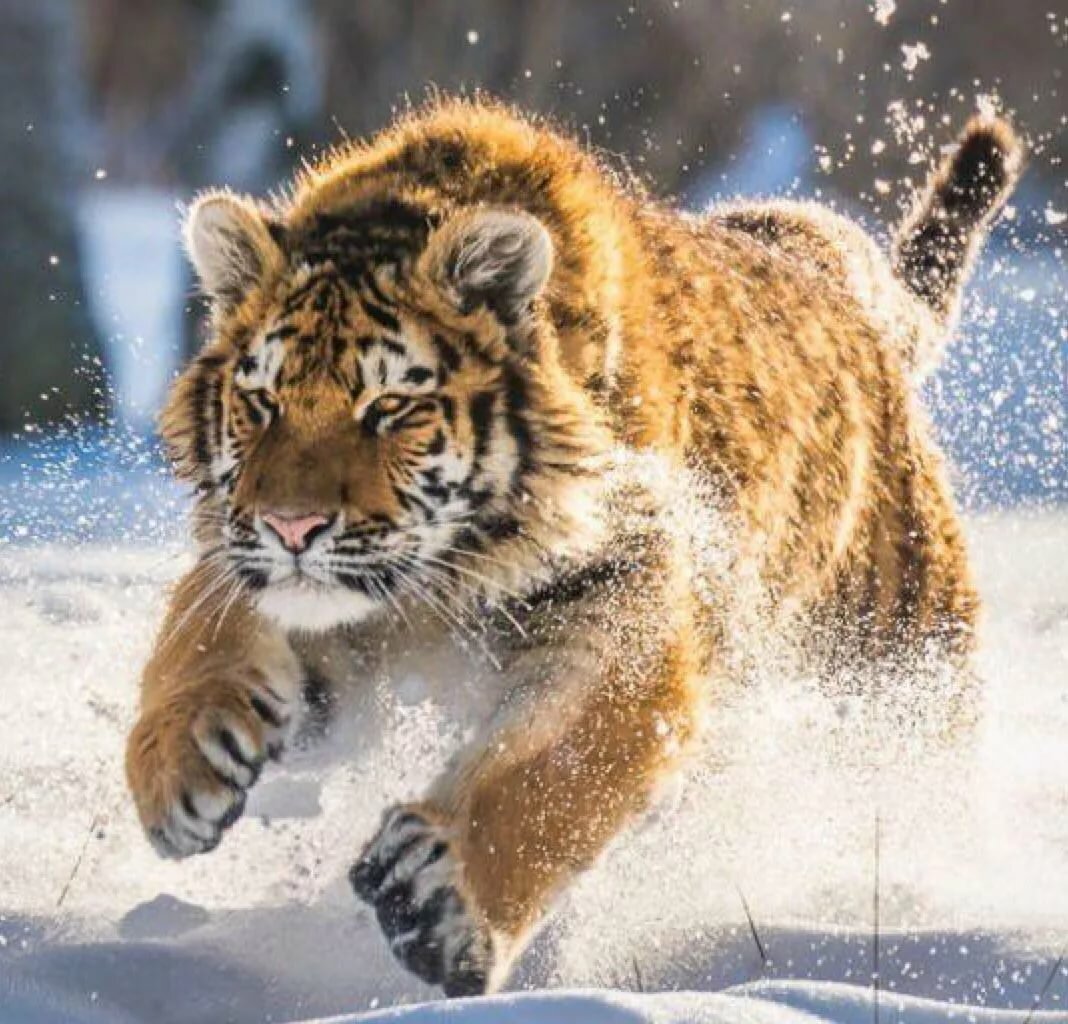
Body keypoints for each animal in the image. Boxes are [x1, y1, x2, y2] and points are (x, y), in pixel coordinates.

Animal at [125, 98, 1022, 996]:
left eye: (389, 407)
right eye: (261, 400)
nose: (292, 527)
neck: (437, 582)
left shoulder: (625, 613)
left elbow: (554, 772)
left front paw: (440, 902)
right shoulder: (272, 576)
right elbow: (197, 636)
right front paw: (179, 768)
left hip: (901, 675)